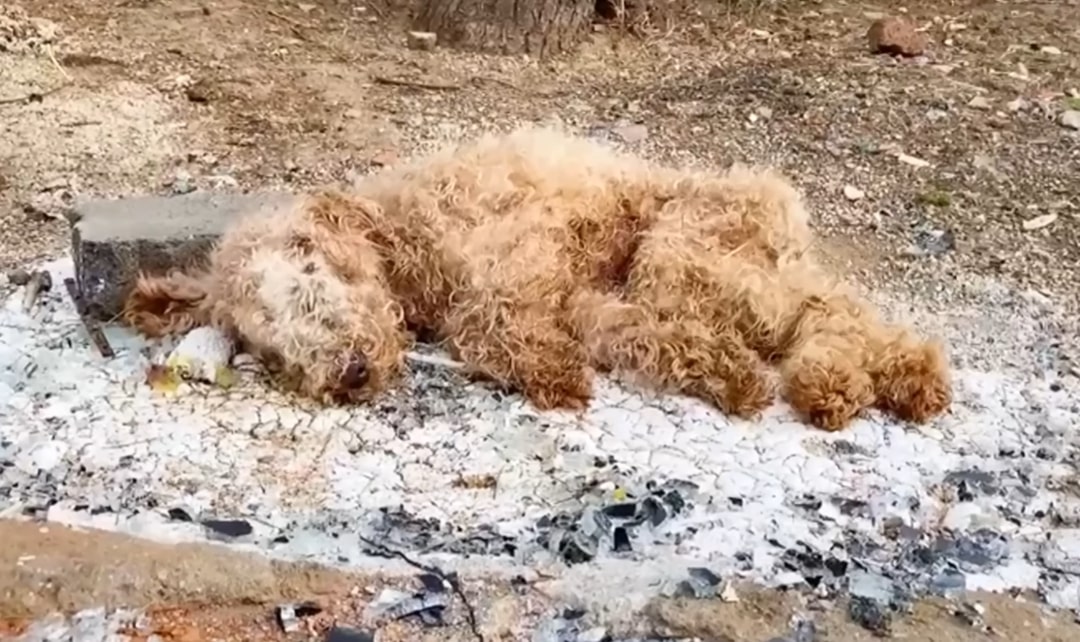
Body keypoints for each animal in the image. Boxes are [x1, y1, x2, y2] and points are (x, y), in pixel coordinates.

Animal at [126, 125, 950, 430]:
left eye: (308, 272)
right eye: (265, 345)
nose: (350, 373)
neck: (405, 239)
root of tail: (781, 203)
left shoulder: (528, 254)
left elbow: (486, 323)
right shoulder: (587, 302)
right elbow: (646, 341)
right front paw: (728, 375)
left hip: (685, 256)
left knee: (831, 314)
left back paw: (853, 383)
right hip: (708, 269)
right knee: (841, 317)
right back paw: (867, 383)